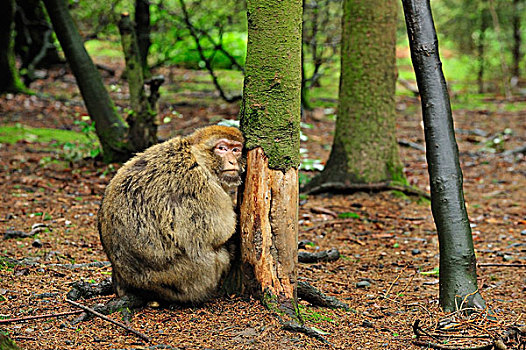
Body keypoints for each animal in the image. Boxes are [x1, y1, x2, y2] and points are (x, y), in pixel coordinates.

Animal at [97, 126, 245, 304]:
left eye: (236, 150)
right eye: (222, 148)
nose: (233, 161)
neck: (196, 155)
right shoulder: (197, 185)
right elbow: (216, 232)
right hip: (191, 278)